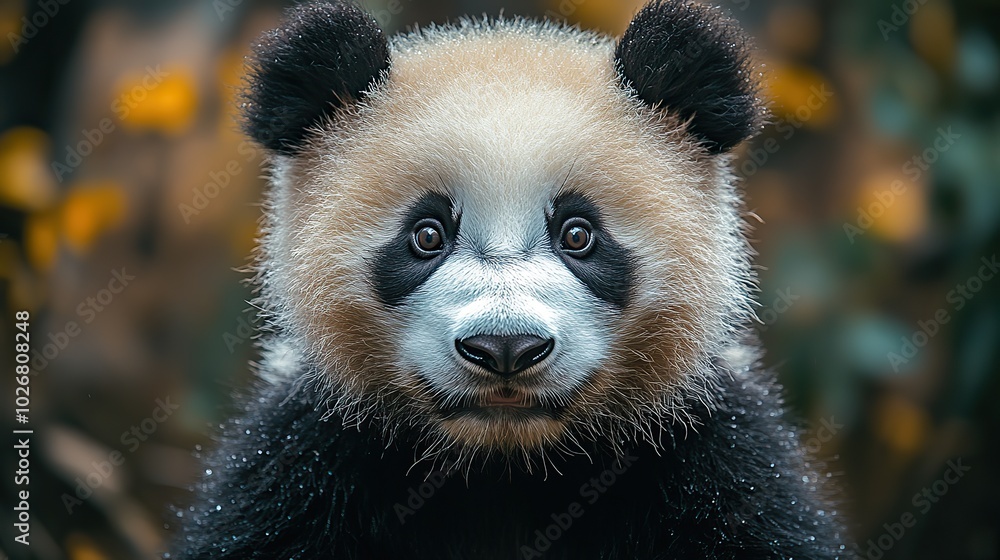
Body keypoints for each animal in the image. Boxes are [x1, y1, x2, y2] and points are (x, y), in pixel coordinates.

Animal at [172, 0, 852, 558]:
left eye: (578, 234)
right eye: (426, 235)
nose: (505, 348)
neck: (506, 466)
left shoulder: (714, 463)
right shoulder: (306, 463)